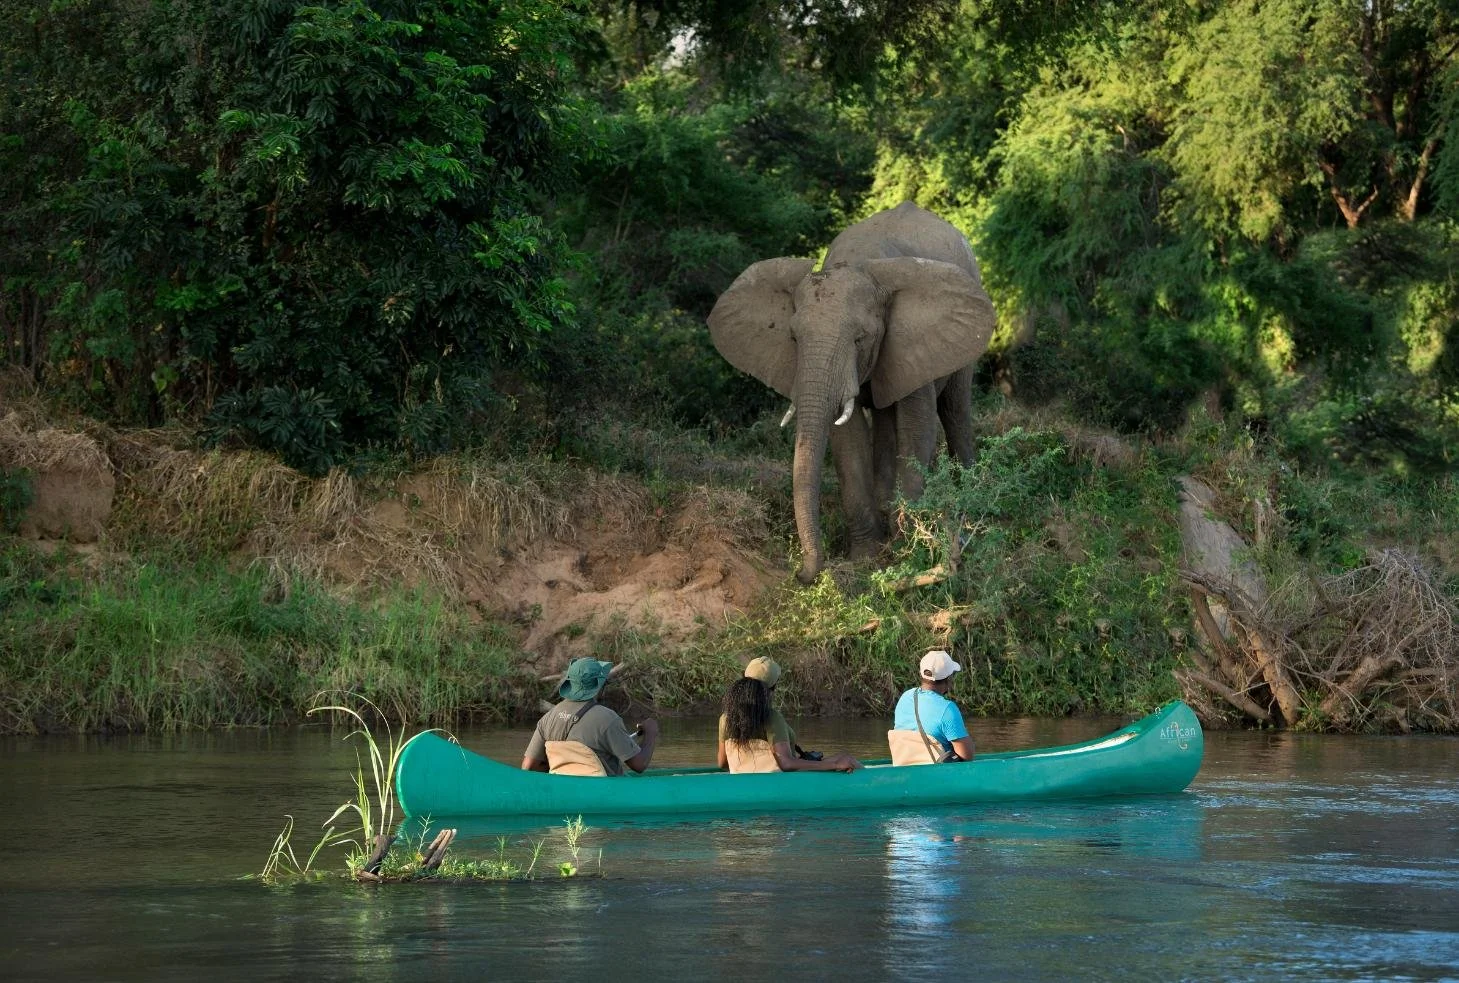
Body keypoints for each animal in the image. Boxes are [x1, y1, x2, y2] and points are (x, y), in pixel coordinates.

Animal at [707, 202, 997, 584]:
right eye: (794, 338)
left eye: (860, 338)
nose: (801, 574)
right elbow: (848, 437)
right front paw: (866, 558)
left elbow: (916, 426)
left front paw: (908, 551)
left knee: (954, 409)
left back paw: (969, 506)